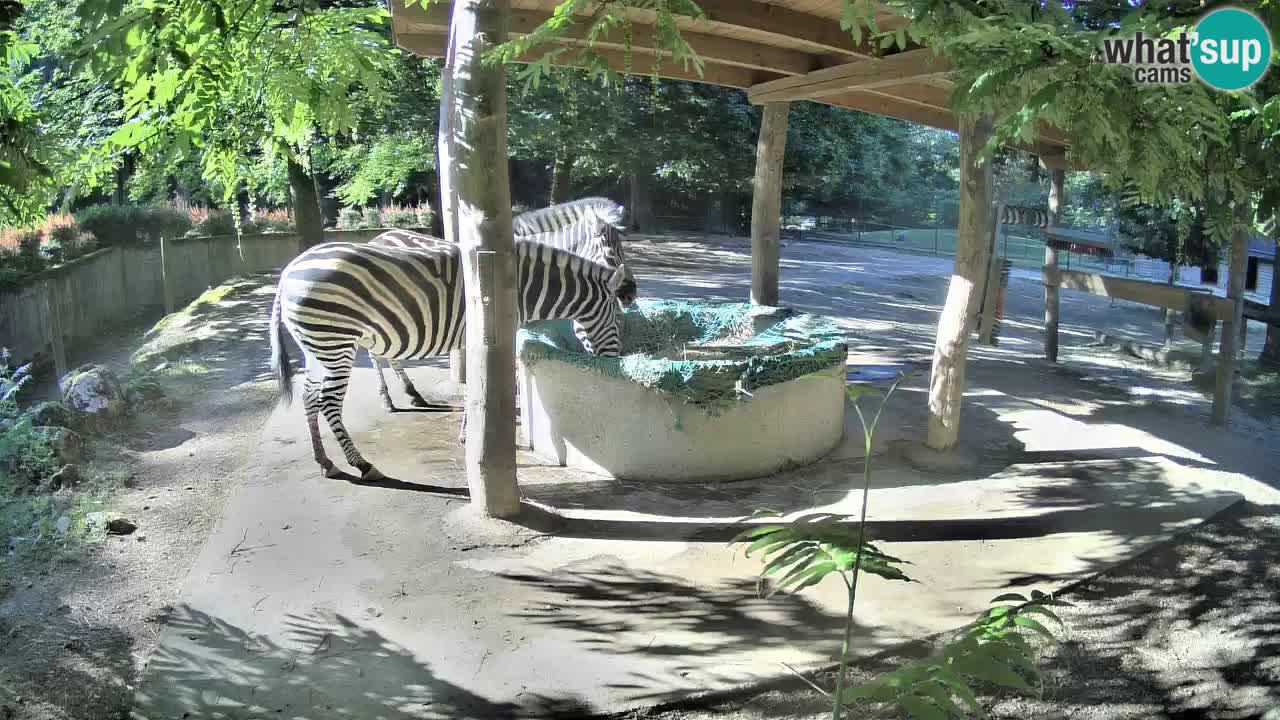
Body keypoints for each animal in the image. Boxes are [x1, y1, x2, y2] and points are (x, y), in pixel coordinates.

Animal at [269, 239, 636, 482]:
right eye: (619, 318)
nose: (615, 362)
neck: (520, 288)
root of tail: (288, 271)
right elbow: (498, 383)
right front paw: (474, 433)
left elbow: (478, 384)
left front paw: (468, 432)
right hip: (336, 342)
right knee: (328, 402)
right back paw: (362, 463)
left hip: (318, 347)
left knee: (309, 398)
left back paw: (324, 461)